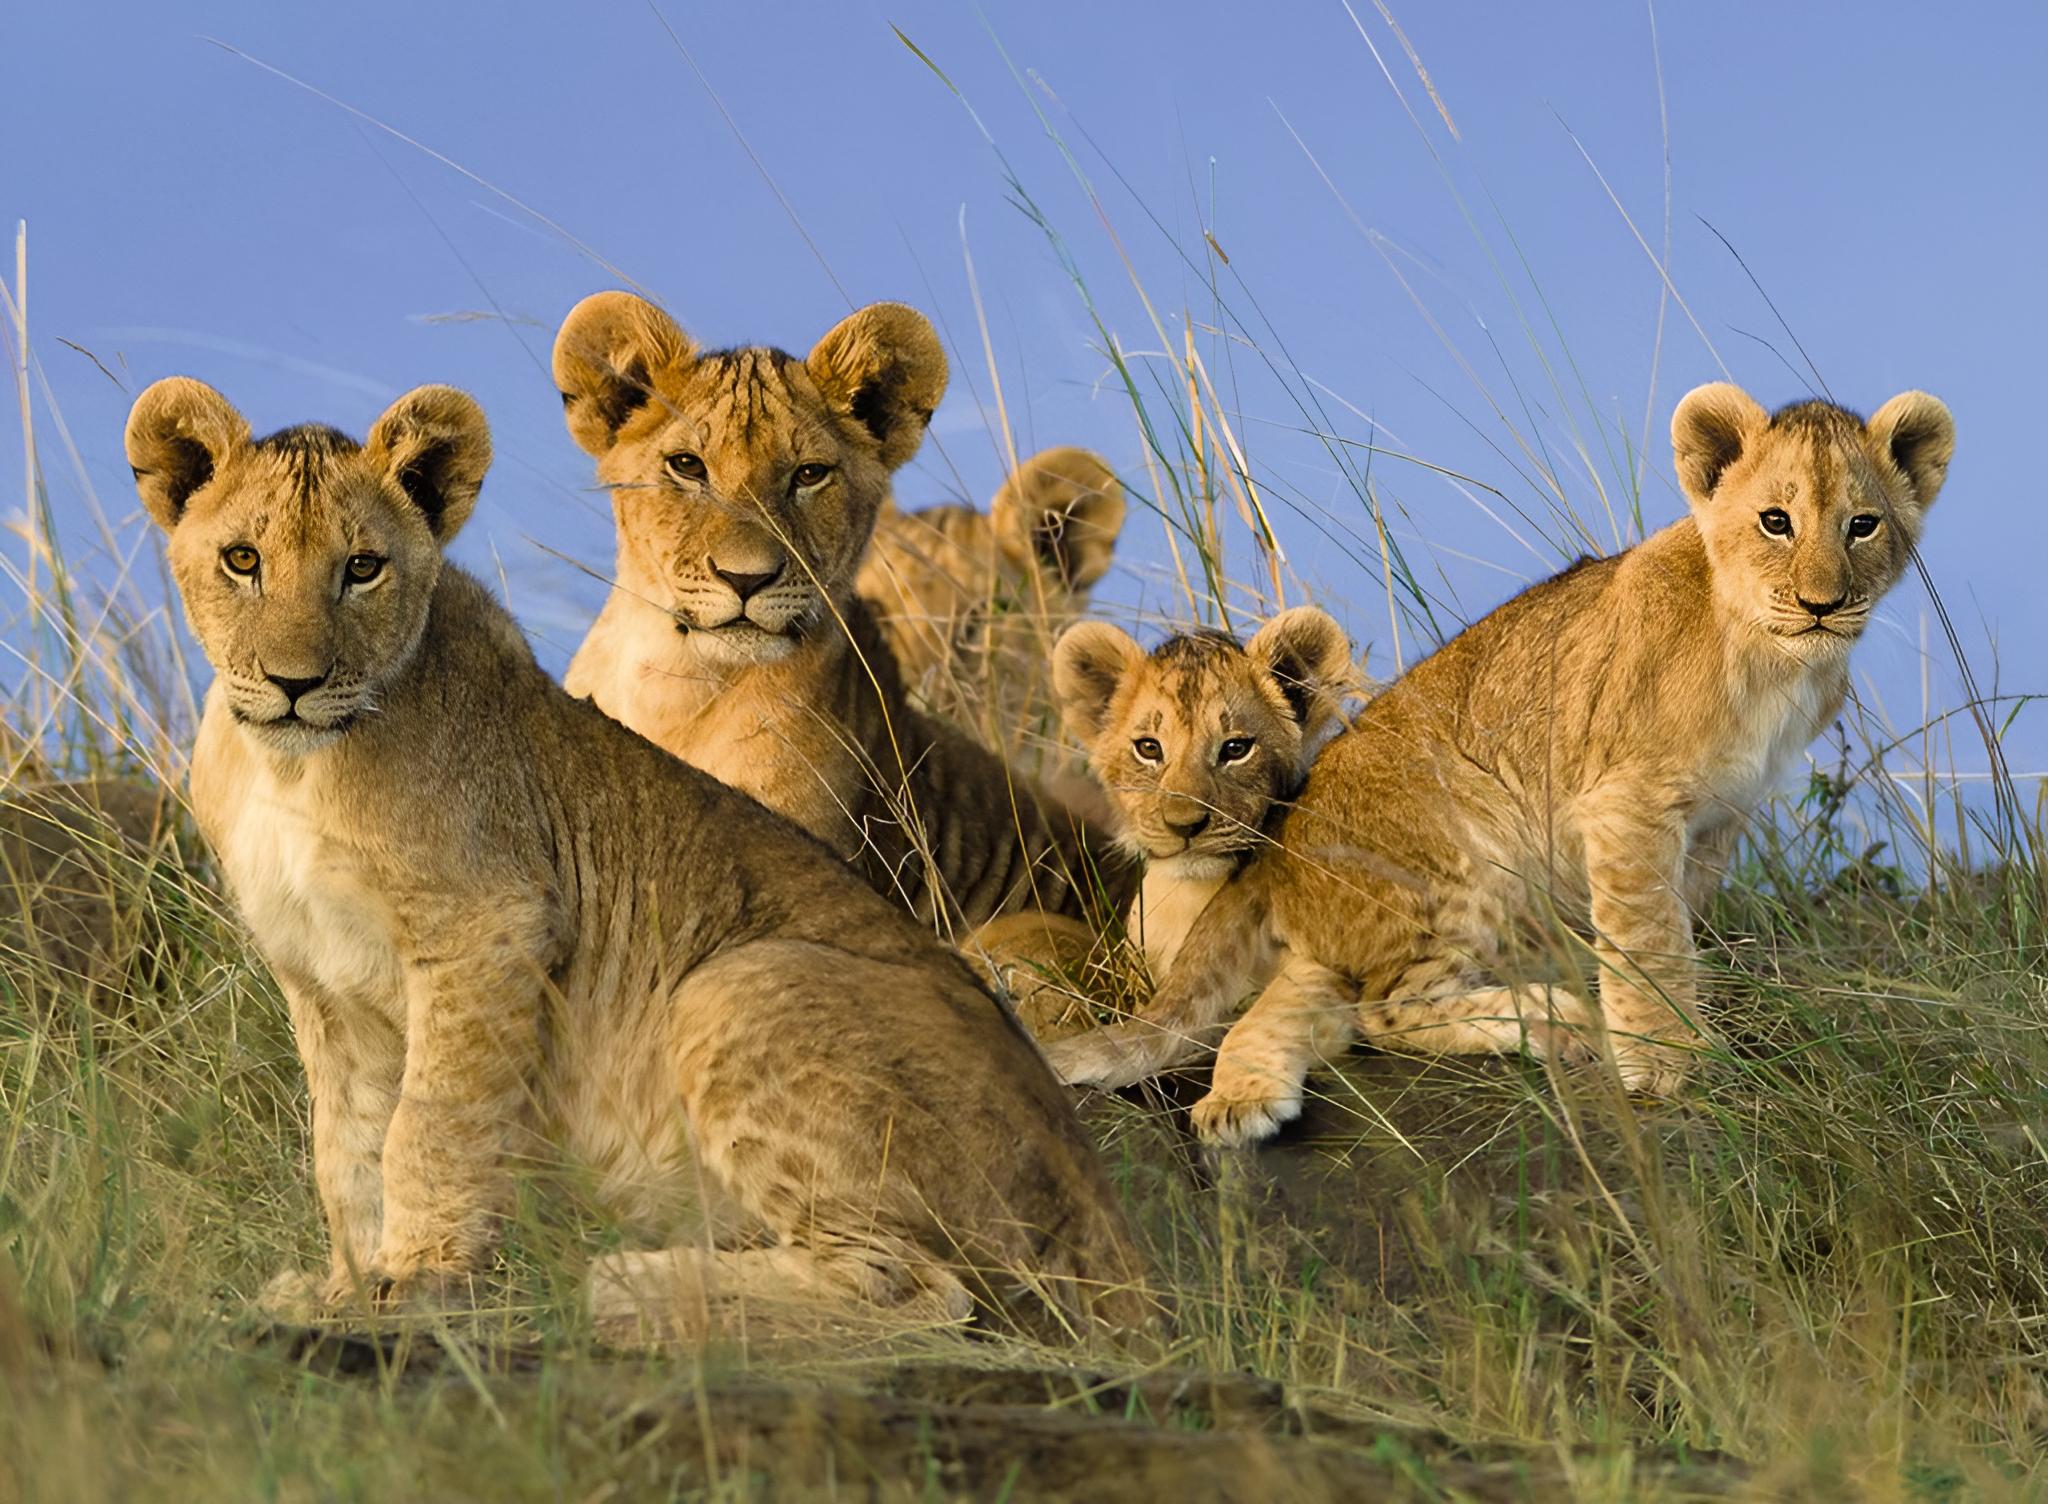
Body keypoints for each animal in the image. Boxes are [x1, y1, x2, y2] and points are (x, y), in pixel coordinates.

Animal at [123, 375, 1153, 1336]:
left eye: (363, 569)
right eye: (243, 561)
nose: (295, 684)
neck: (291, 769)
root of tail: (1112, 1221)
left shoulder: (489, 930)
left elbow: (431, 1123)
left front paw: (423, 1285)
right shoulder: (323, 983)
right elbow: (345, 1149)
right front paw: (345, 1289)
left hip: (734, 985)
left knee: (920, 1292)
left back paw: (631, 1283)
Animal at [1047, 384, 1955, 1146]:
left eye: (1862, 525)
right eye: (1775, 521)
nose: (1822, 604)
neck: (1777, 667)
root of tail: (1276, 849)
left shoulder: (1718, 820)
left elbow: (1676, 932)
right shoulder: (1626, 804)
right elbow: (1649, 940)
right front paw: (1664, 1063)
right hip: (1468, 835)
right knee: (1383, 1013)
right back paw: (1555, 1018)